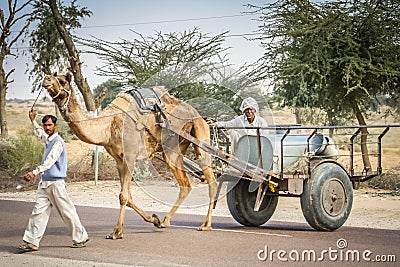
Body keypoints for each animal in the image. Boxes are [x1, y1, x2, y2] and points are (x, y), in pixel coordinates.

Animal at [41, 72, 217, 240]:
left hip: (200, 133)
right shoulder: (119, 160)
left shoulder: (130, 156)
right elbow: (128, 197)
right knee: (185, 184)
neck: (109, 124)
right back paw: (165, 221)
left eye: (62, 81)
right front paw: (154, 220)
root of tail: (199, 115)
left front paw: (117, 232)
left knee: (211, 180)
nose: (46, 79)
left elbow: (123, 196)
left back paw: (206, 225)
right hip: (173, 149)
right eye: (52, 76)